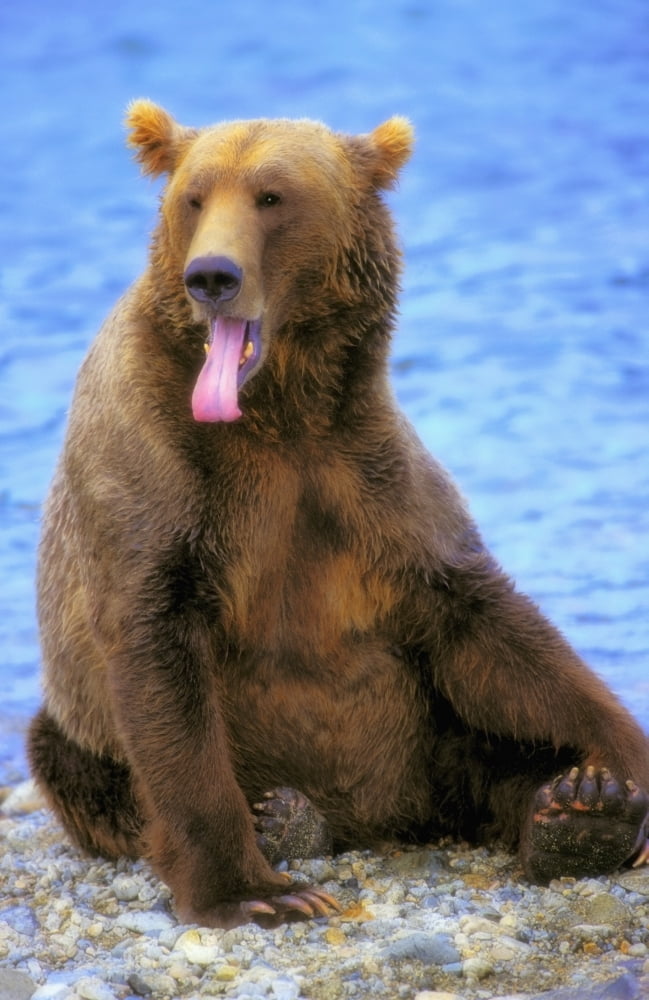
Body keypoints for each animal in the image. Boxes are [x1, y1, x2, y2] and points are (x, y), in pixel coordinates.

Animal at [29, 100, 649, 930]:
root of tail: (374, 817)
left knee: (493, 755)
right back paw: (282, 816)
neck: (274, 412)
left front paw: (619, 766)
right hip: (82, 727)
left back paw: (580, 808)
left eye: (271, 196)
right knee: (73, 762)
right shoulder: (158, 477)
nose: (211, 276)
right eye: (194, 196)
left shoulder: (364, 481)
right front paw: (256, 890)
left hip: (427, 736)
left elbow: (493, 628)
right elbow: (158, 663)